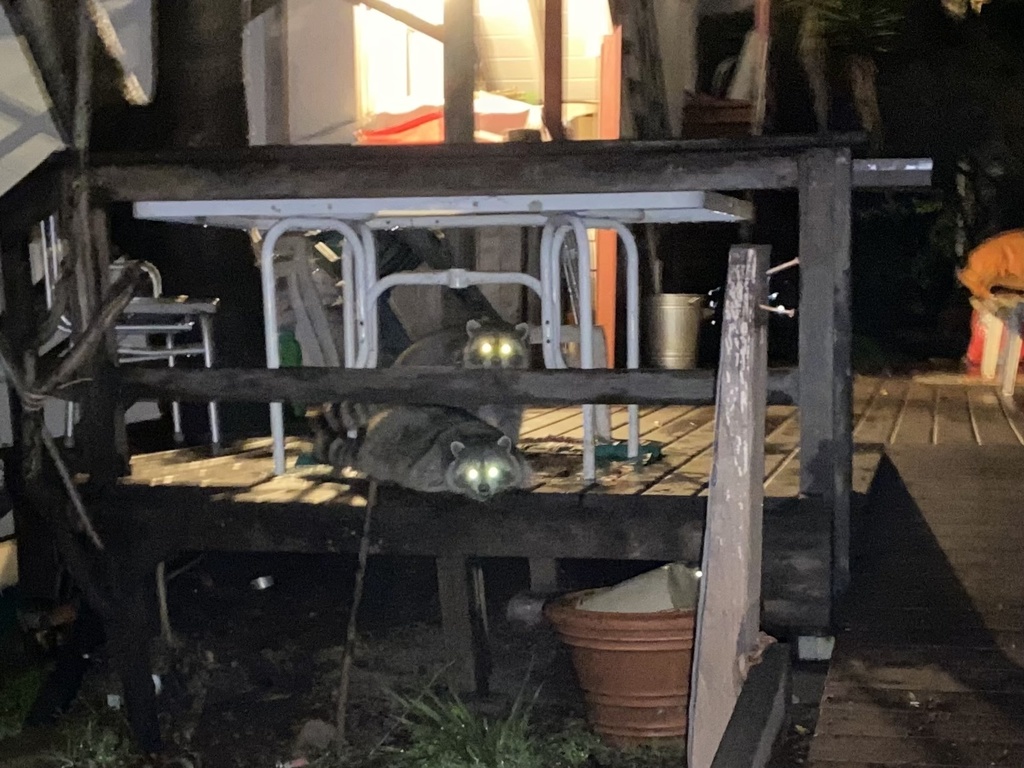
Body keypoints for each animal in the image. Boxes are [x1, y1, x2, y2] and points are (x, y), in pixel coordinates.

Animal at [313, 405, 532, 501]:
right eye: (472, 473)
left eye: (494, 470)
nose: (483, 488)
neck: (478, 437)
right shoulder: (430, 465)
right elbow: (423, 481)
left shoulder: (519, 461)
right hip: (383, 446)